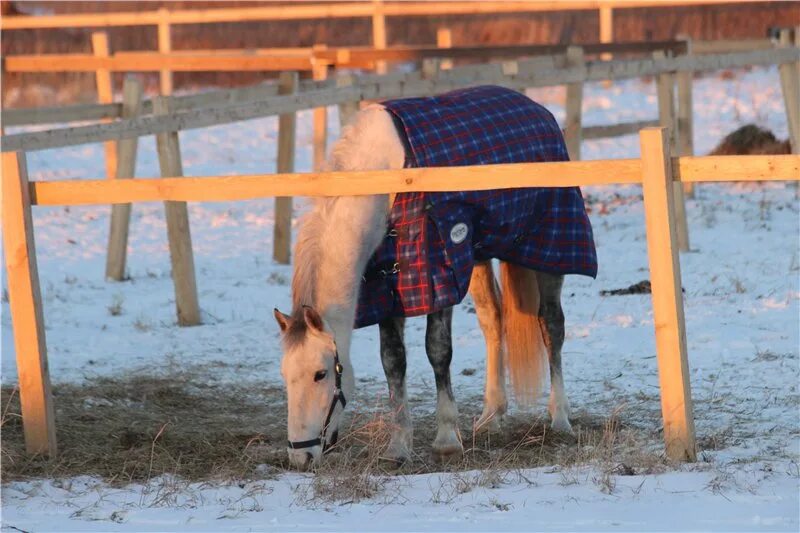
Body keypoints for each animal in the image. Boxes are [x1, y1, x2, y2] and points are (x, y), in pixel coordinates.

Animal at [276, 85, 592, 468]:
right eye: (285, 376)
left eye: (320, 374)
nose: (300, 456)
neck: (385, 175)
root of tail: (538, 109)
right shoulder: (386, 287)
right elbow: (392, 360)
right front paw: (398, 446)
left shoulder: (437, 273)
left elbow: (438, 350)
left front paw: (446, 439)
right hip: (478, 254)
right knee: (493, 321)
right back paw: (492, 415)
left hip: (547, 247)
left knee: (552, 326)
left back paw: (560, 418)